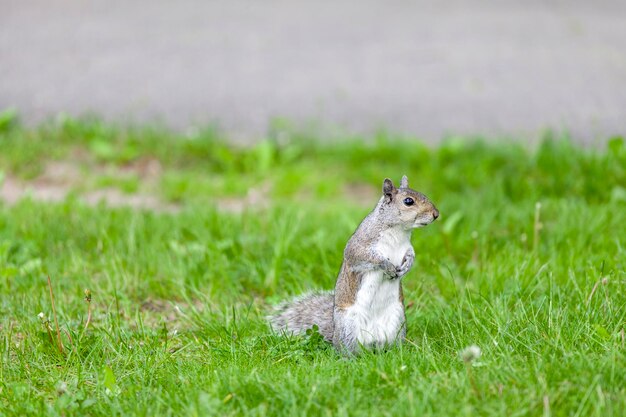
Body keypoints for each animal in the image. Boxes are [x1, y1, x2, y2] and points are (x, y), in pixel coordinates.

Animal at [270, 174, 438, 352]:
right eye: (408, 201)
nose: (436, 214)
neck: (398, 231)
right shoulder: (359, 247)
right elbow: (369, 258)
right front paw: (388, 267)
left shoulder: (407, 247)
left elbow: (411, 255)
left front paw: (406, 267)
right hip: (348, 326)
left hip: (398, 321)